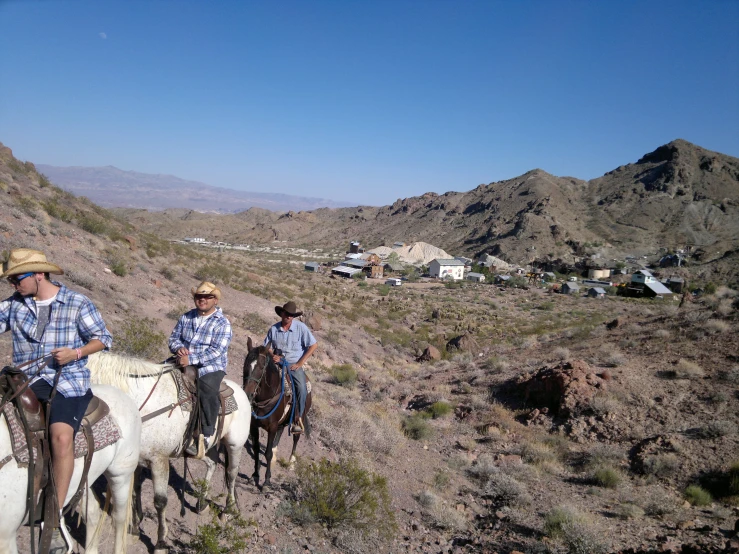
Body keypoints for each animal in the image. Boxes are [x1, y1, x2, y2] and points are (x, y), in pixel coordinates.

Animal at [86, 352, 251, 548]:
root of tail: (241, 391)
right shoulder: (137, 460)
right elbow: (135, 491)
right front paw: (135, 528)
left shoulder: (159, 460)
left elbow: (160, 502)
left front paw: (160, 543)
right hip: (206, 447)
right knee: (212, 464)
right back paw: (202, 504)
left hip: (235, 444)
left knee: (231, 474)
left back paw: (228, 510)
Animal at [244, 336, 310, 488]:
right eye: (246, 364)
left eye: (261, 367)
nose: (248, 394)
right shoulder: (254, 426)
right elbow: (256, 449)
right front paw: (255, 475)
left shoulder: (272, 427)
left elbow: (267, 453)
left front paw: (266, 481)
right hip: (281, 422)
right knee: (279, 434)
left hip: (300, 419)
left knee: (296, 438)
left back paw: (291, 463)